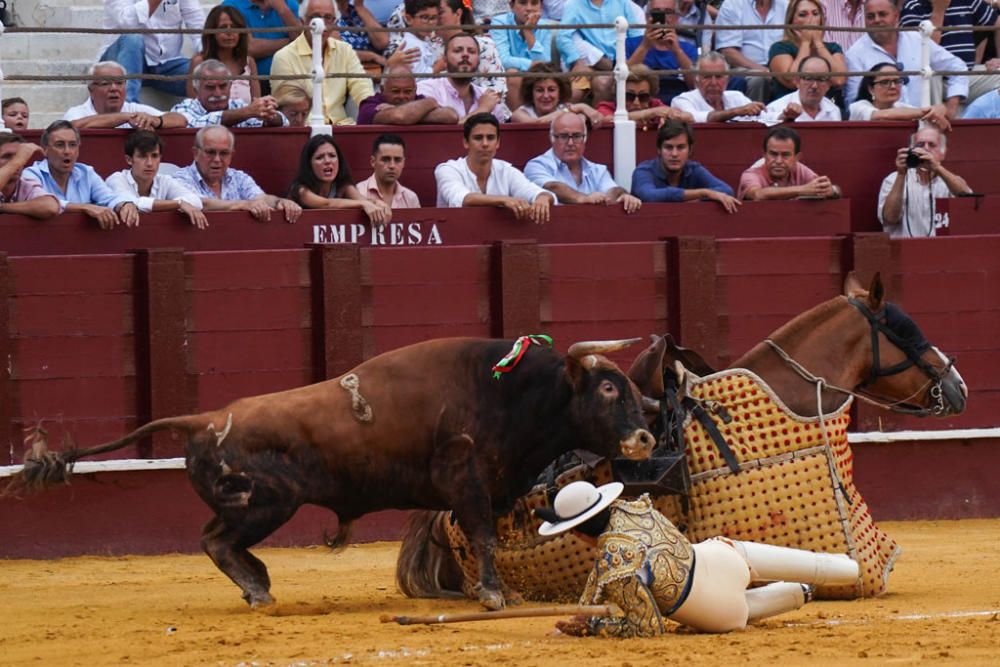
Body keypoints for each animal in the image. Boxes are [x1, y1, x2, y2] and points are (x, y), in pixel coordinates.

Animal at [5, 340, 656, 612]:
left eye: (628, 385)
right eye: (606, 389)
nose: (646, 435)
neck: (511, 393)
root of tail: (204, 418)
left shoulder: (493, 488)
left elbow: (483, 541)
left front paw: (501, 591)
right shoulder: (467, 483)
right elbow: (482, 538)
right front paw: (494, 596)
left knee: (217, 542)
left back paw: (258, 583)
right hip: (265, 503)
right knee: (215, 541)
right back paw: (259, 589)